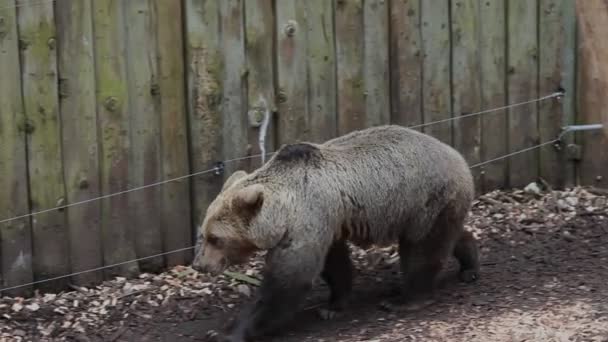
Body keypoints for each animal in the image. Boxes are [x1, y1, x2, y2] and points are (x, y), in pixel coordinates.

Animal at [192, 124, 478, 340]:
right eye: (202, 235)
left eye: (215, 238)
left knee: (422, 249)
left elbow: (288, 281)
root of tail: (458, 156)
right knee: (449, 235)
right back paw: (469, 265)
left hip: (425, 200)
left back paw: (405, 300)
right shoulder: (327, 225)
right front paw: (334, 306)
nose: (199, 265)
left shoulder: (307, 220)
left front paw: (227, 331)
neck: (282, 212)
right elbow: (335, 265)